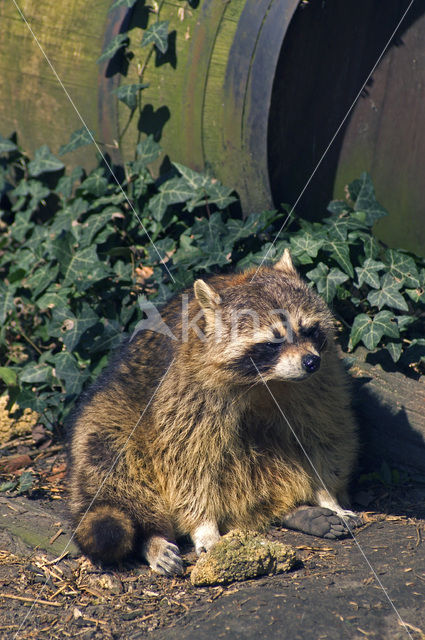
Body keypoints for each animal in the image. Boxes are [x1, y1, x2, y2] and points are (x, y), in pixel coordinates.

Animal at [66, 249, 358, 576]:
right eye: (274, 341)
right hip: (106, 414)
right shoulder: (187, 394)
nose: (310, 362)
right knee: (113, 461)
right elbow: (189, 462)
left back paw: (296, 511)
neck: (267, 381)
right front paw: (203, 525)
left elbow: (322, 438)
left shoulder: (320, 386)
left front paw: (327, 496)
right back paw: (151, 537)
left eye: (309, 329)